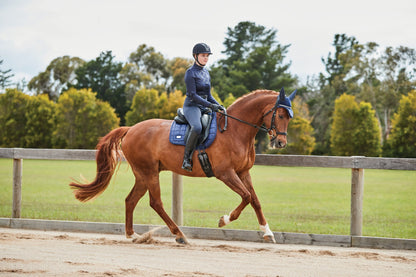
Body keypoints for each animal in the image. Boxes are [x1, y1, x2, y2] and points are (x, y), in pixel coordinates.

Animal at [69, 88, 296, 244]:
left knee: (131, 200)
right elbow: (246, 197)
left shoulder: (243, 172)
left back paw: (133, 235)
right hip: (149, 173)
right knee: (155, 203)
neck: (235, 130)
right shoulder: (226, 173)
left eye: (289, 117)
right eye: (280, 115)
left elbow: (255, 200)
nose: (280, 143)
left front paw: (267, 232)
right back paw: (179, 235)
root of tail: (131, 129)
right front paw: (224, 220)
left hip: (143, 175)